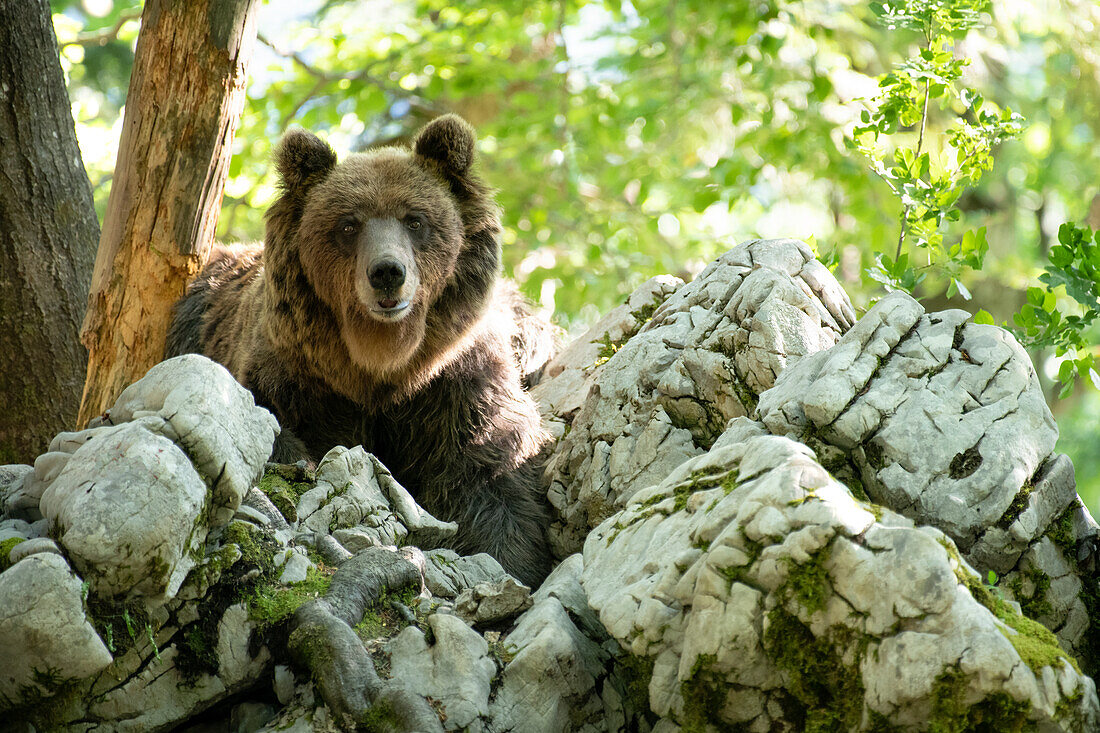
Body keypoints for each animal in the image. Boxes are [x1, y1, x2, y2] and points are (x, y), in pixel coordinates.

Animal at [163, 115, 554, 581]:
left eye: (415, 220)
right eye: (349, 224)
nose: (387, 272)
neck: (380, 365)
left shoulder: (455, 379)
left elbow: (488, 467)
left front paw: (509, 558)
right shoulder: (296, 371)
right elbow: (270, 425)